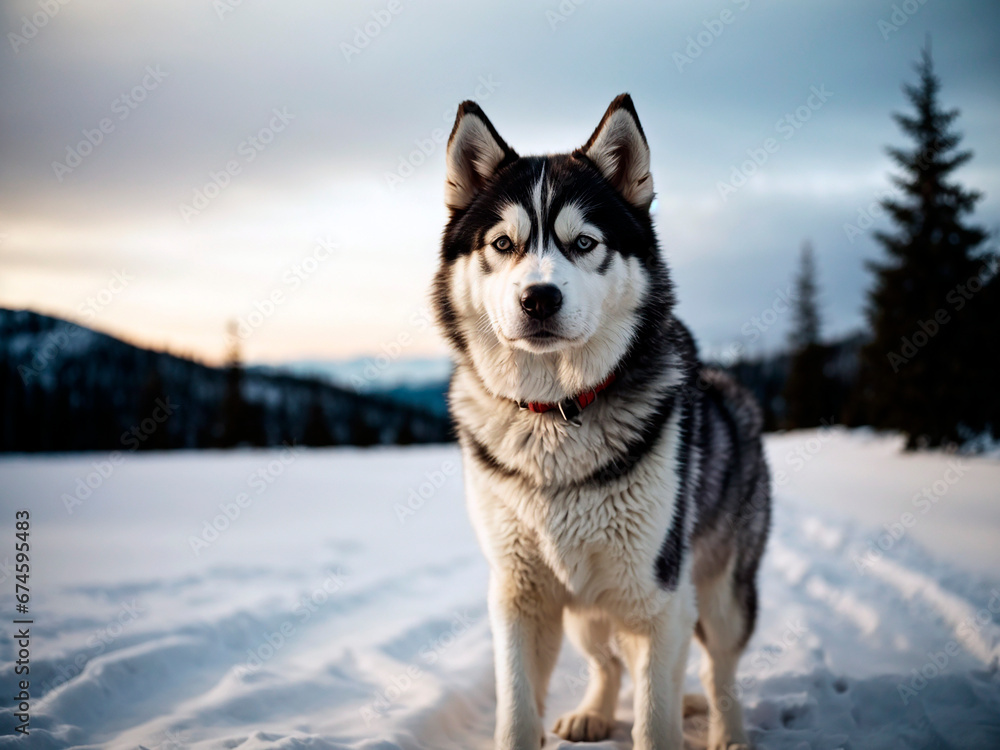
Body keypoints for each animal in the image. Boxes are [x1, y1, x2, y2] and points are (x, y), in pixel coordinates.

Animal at [434, 95, 768, 750]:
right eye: (503, 243)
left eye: (584, 242)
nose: (539, 298)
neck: (555, 413)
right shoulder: (519, 595)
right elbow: (517, 710)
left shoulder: (659, 596)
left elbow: (656, 719)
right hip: (590, 606)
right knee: (606, 660)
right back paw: (592, 711)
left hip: (718, 595)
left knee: (718, 669)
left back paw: (729, 731)